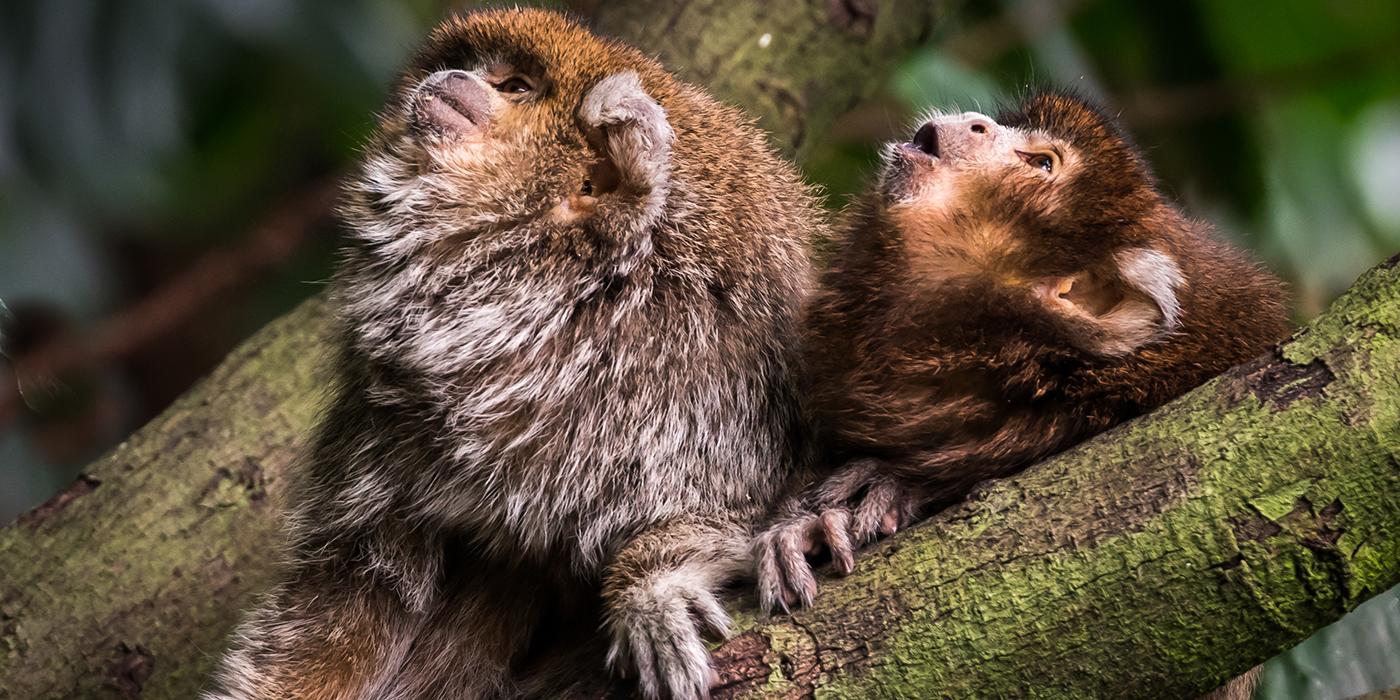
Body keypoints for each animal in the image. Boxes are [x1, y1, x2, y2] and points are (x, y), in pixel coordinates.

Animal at [207, 9, 817, 700]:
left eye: (515, 86)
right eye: (470, 66)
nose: (454, 79)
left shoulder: (704, 378)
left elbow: (751, 510)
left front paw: (648, 588)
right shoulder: (383, 419)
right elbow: (353, 585)